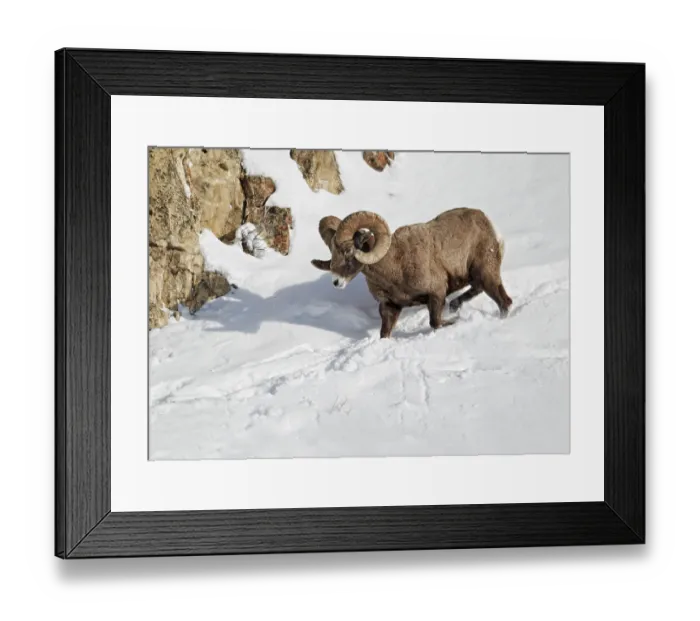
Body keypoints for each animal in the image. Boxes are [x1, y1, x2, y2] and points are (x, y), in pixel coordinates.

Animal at [311, 208, 513, 338]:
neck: (395, 269)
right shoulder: (390, 307)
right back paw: (455, 305)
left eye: (348, 252)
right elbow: (384, 334)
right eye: (333, 253)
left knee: (504, 302)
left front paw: (455, 321)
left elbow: (435, 323)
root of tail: (491, 226)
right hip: (478, 277)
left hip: (486, 275)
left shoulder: (436, 294)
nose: (336, 282)